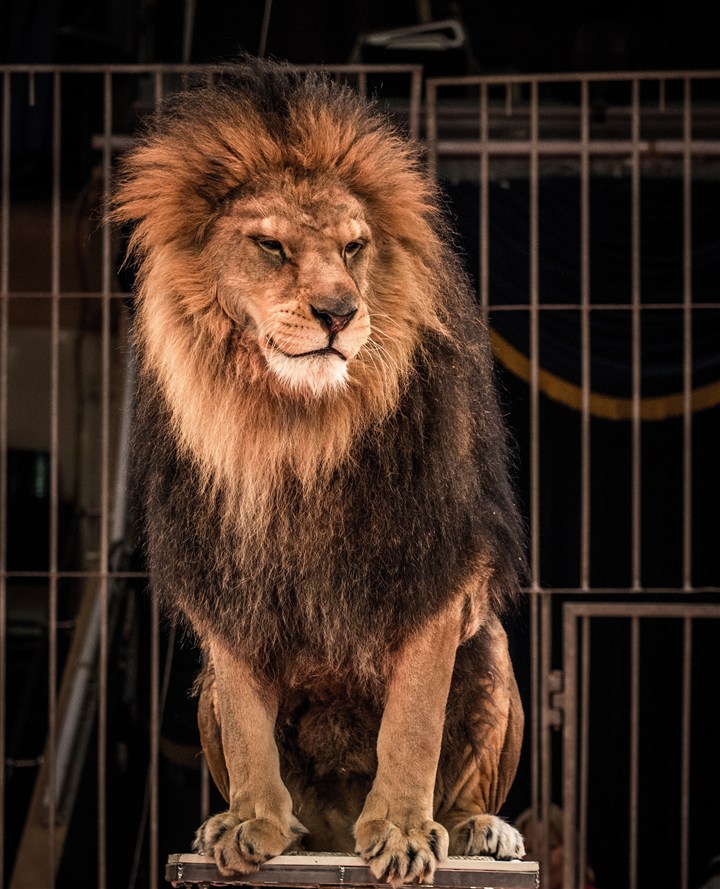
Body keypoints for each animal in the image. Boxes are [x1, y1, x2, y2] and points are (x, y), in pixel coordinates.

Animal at [114, 59, 528, 884]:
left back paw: (479, 829)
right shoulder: (225, 573)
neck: (295, 428)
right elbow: (248, 722)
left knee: (466, 786)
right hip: (203, 689)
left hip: (492, 648)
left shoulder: (432, 565)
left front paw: (402, 830)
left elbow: (411, 724)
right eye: (271, 246)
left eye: (355, 247)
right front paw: (254, 822)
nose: (340, 311)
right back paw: (250, 825)